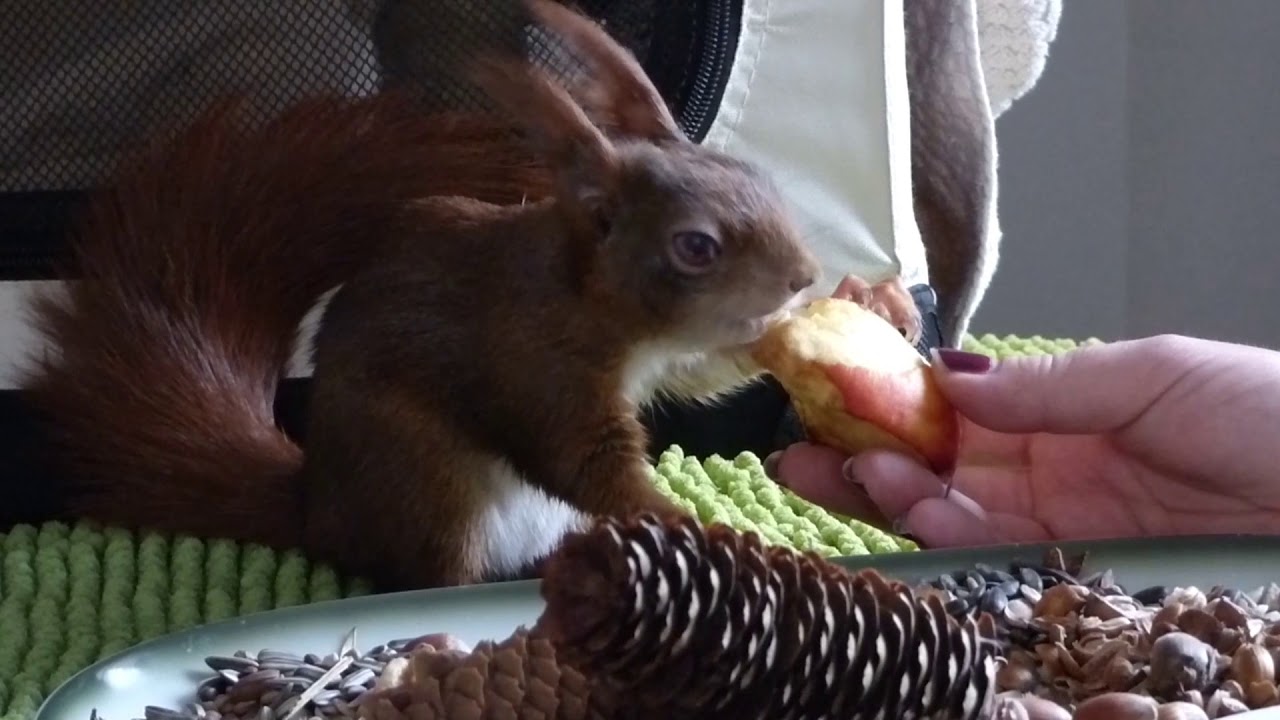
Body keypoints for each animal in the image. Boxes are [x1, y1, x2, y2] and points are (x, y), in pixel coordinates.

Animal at [19, 0, 823, 592]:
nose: (804, 275)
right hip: (429, 489)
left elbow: (703, 377)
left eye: (756, 178)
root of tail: (321, 514)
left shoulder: (664, 359)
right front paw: (708, 526)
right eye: (696, 247)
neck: (599, 311)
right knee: (433, 571)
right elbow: (582, 465)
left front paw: (807, 325)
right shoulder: (536, 369)